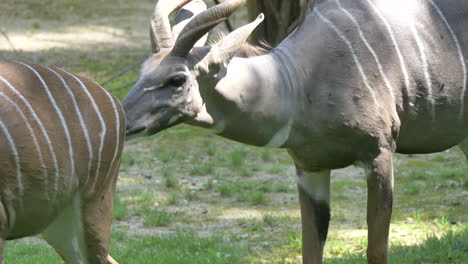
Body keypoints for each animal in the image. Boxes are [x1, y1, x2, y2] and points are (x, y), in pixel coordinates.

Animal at [123, 0, 468, 264]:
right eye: (142, 70)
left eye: (177, 79)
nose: (122, 119)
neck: (296, 82)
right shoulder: (309, 167)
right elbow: (310, 248)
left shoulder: (380, 153)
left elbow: (376, 250)